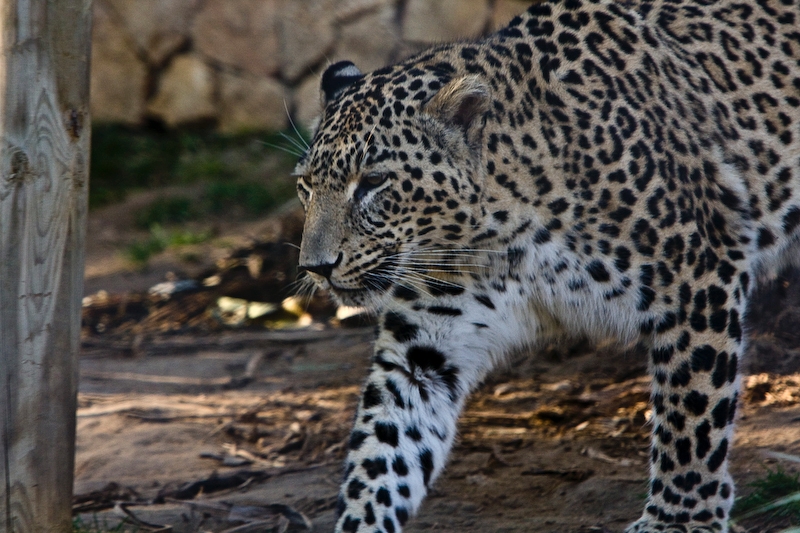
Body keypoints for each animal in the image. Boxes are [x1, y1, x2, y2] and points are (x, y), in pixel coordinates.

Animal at [291, 0, 800, 531]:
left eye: (373, 182)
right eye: (306, 186)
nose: (316, 266)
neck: (499, 240)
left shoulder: (697, 280)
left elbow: (692, 411)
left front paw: (680, 518)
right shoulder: (423, 349)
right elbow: (383, 448)